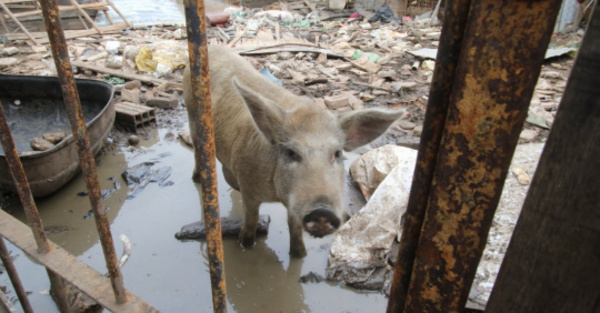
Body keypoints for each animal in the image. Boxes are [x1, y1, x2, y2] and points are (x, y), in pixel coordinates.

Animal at [183, 45, 404, 256]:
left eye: (338, 153)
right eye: (291, 152)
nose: (322, 212)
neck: (277, 195)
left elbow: (295, 230)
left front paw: (299, 255)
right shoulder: (250, 192)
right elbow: (251, 222)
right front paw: (245, 245)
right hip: (192, 115)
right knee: (196, 150)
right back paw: (197, 179)